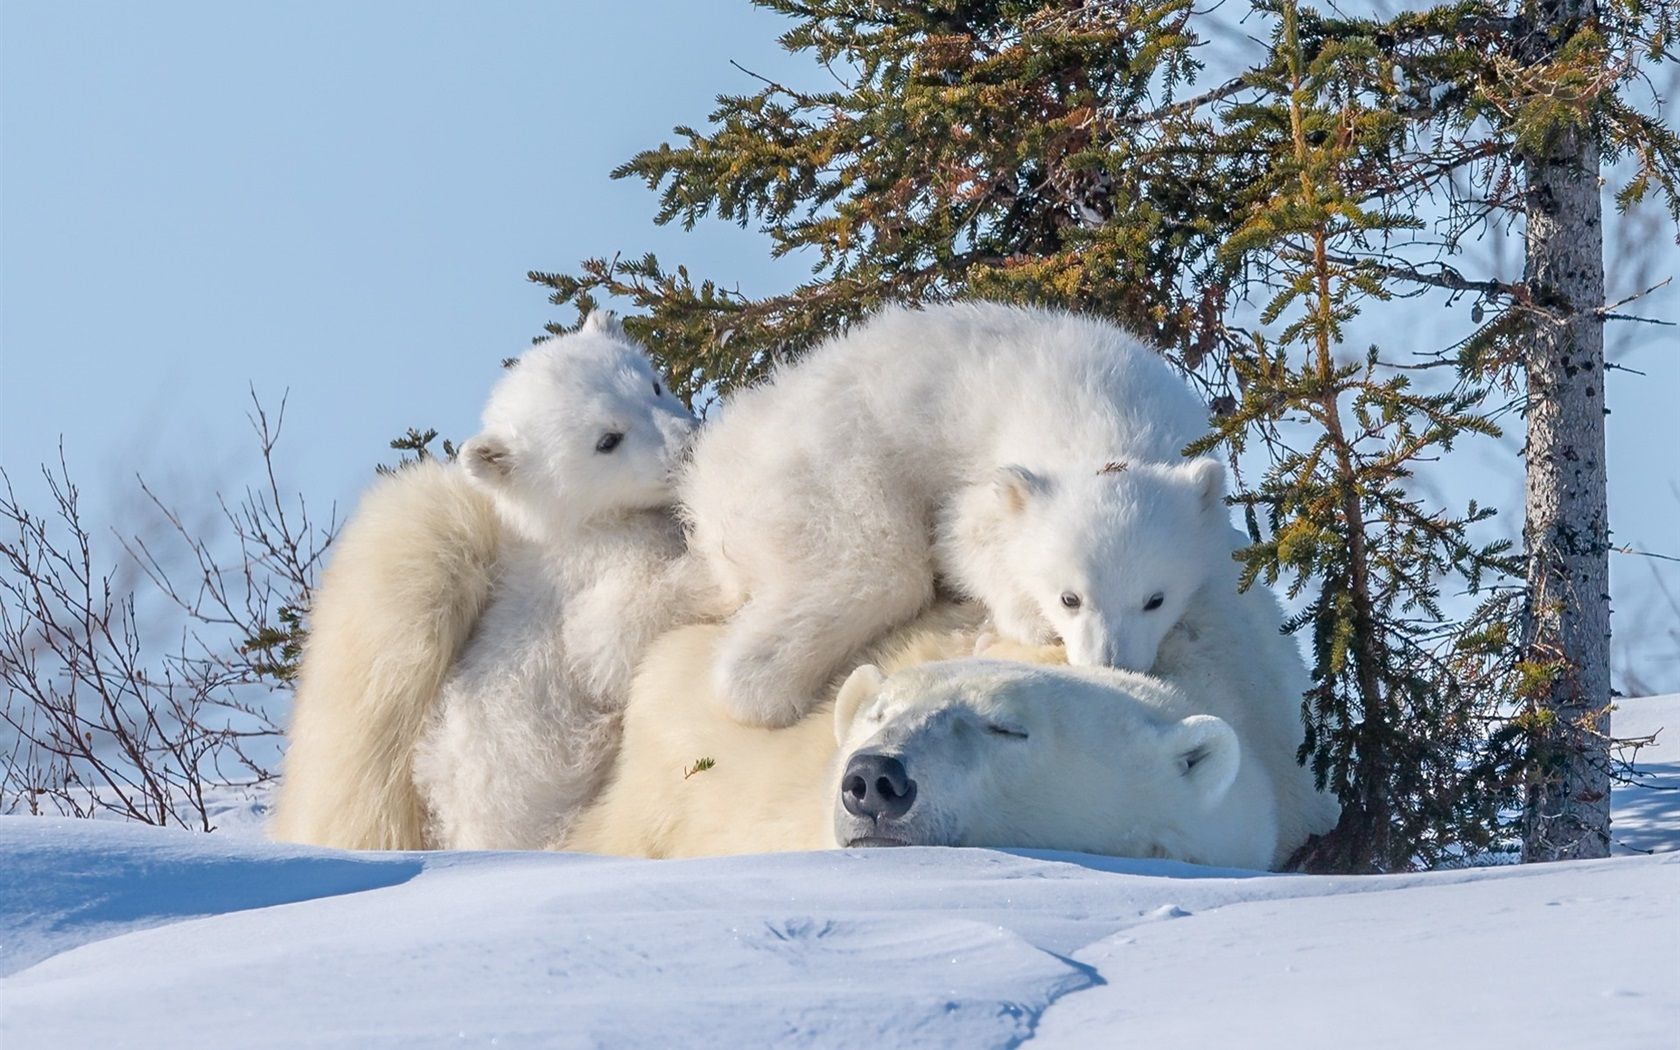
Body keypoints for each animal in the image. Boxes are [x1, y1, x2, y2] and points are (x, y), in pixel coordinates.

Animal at [273, 315, 702, 846]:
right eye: (607, 439)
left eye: (652, 385)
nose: (686, 442)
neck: (567, 526)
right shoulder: (591, 567)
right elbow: (613, 634)